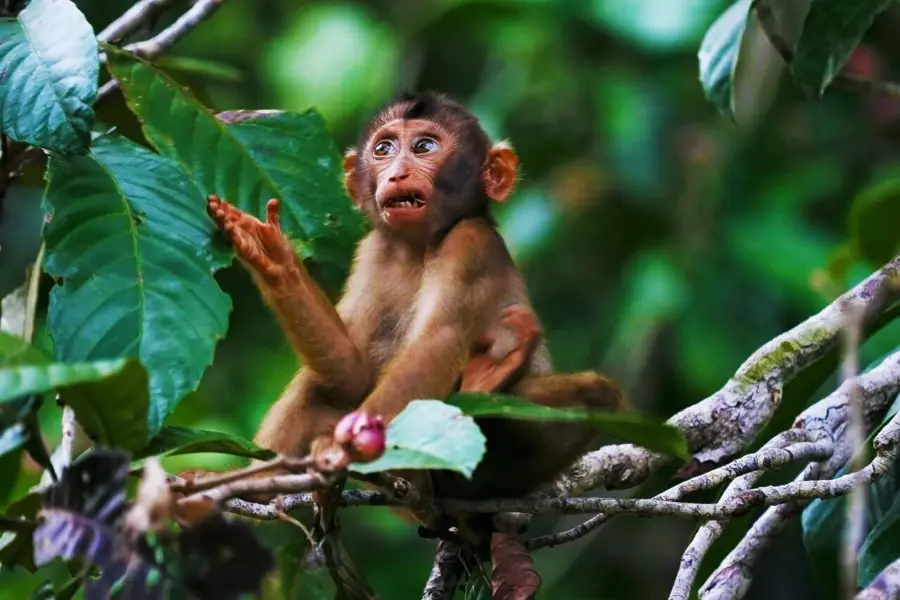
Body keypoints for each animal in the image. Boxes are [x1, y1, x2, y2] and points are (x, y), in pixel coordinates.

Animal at [205, 91, 623, 523]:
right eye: (384, 149)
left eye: (424, 146)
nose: (398, 174)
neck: (416, 248)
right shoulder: (372, 251)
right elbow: (351, 374)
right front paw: (273, 256)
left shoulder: (470, 244)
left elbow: (436, 343)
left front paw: (340, 451)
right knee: (318, 386)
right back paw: (256, 487)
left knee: (597, 396)